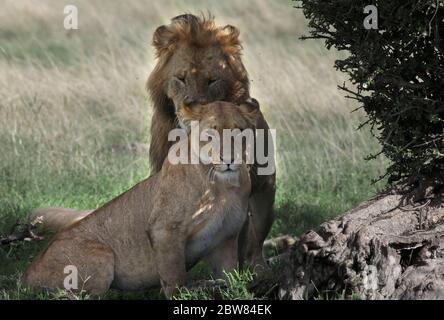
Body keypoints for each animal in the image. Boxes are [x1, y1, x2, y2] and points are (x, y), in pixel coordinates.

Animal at [23, 100, 260, 298]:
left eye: (239, 132)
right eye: (210, 135)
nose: (229, 159)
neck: (222, 187)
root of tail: (28, 272)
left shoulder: (225, 238)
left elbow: (230, 276)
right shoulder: (164, 230)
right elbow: (174, 276)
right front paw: (183, 295)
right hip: (102, 256)